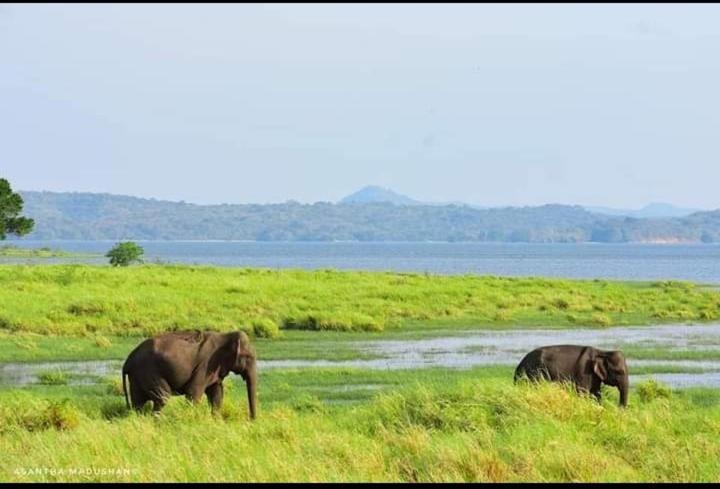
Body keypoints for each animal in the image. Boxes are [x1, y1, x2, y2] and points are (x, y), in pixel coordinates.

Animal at [122, 330, 258, 418]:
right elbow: (194, 391)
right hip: (148, 372)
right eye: (248, 357)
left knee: (138, 402)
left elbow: (217, 393)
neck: (226, 336)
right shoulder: (205, 365)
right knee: (162, 396)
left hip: (137, 376)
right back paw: (157, 421)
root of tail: (128, 360)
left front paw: (216, 421)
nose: (252, 421)